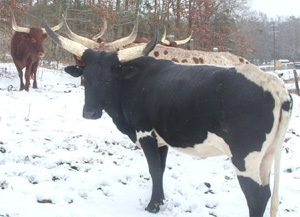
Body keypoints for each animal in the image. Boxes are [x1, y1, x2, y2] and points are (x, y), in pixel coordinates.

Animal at [44, 17, 290, 217]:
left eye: (110, 76)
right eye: (86, 74)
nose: (89, 113)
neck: (133, 82)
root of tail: (276, 84)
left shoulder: (145, 133)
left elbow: (153, 169)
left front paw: (152, 206)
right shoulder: (161, 139)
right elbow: (161, 169)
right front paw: (160, 201)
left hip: (245, 158)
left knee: (257, 197)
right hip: (266, 156)